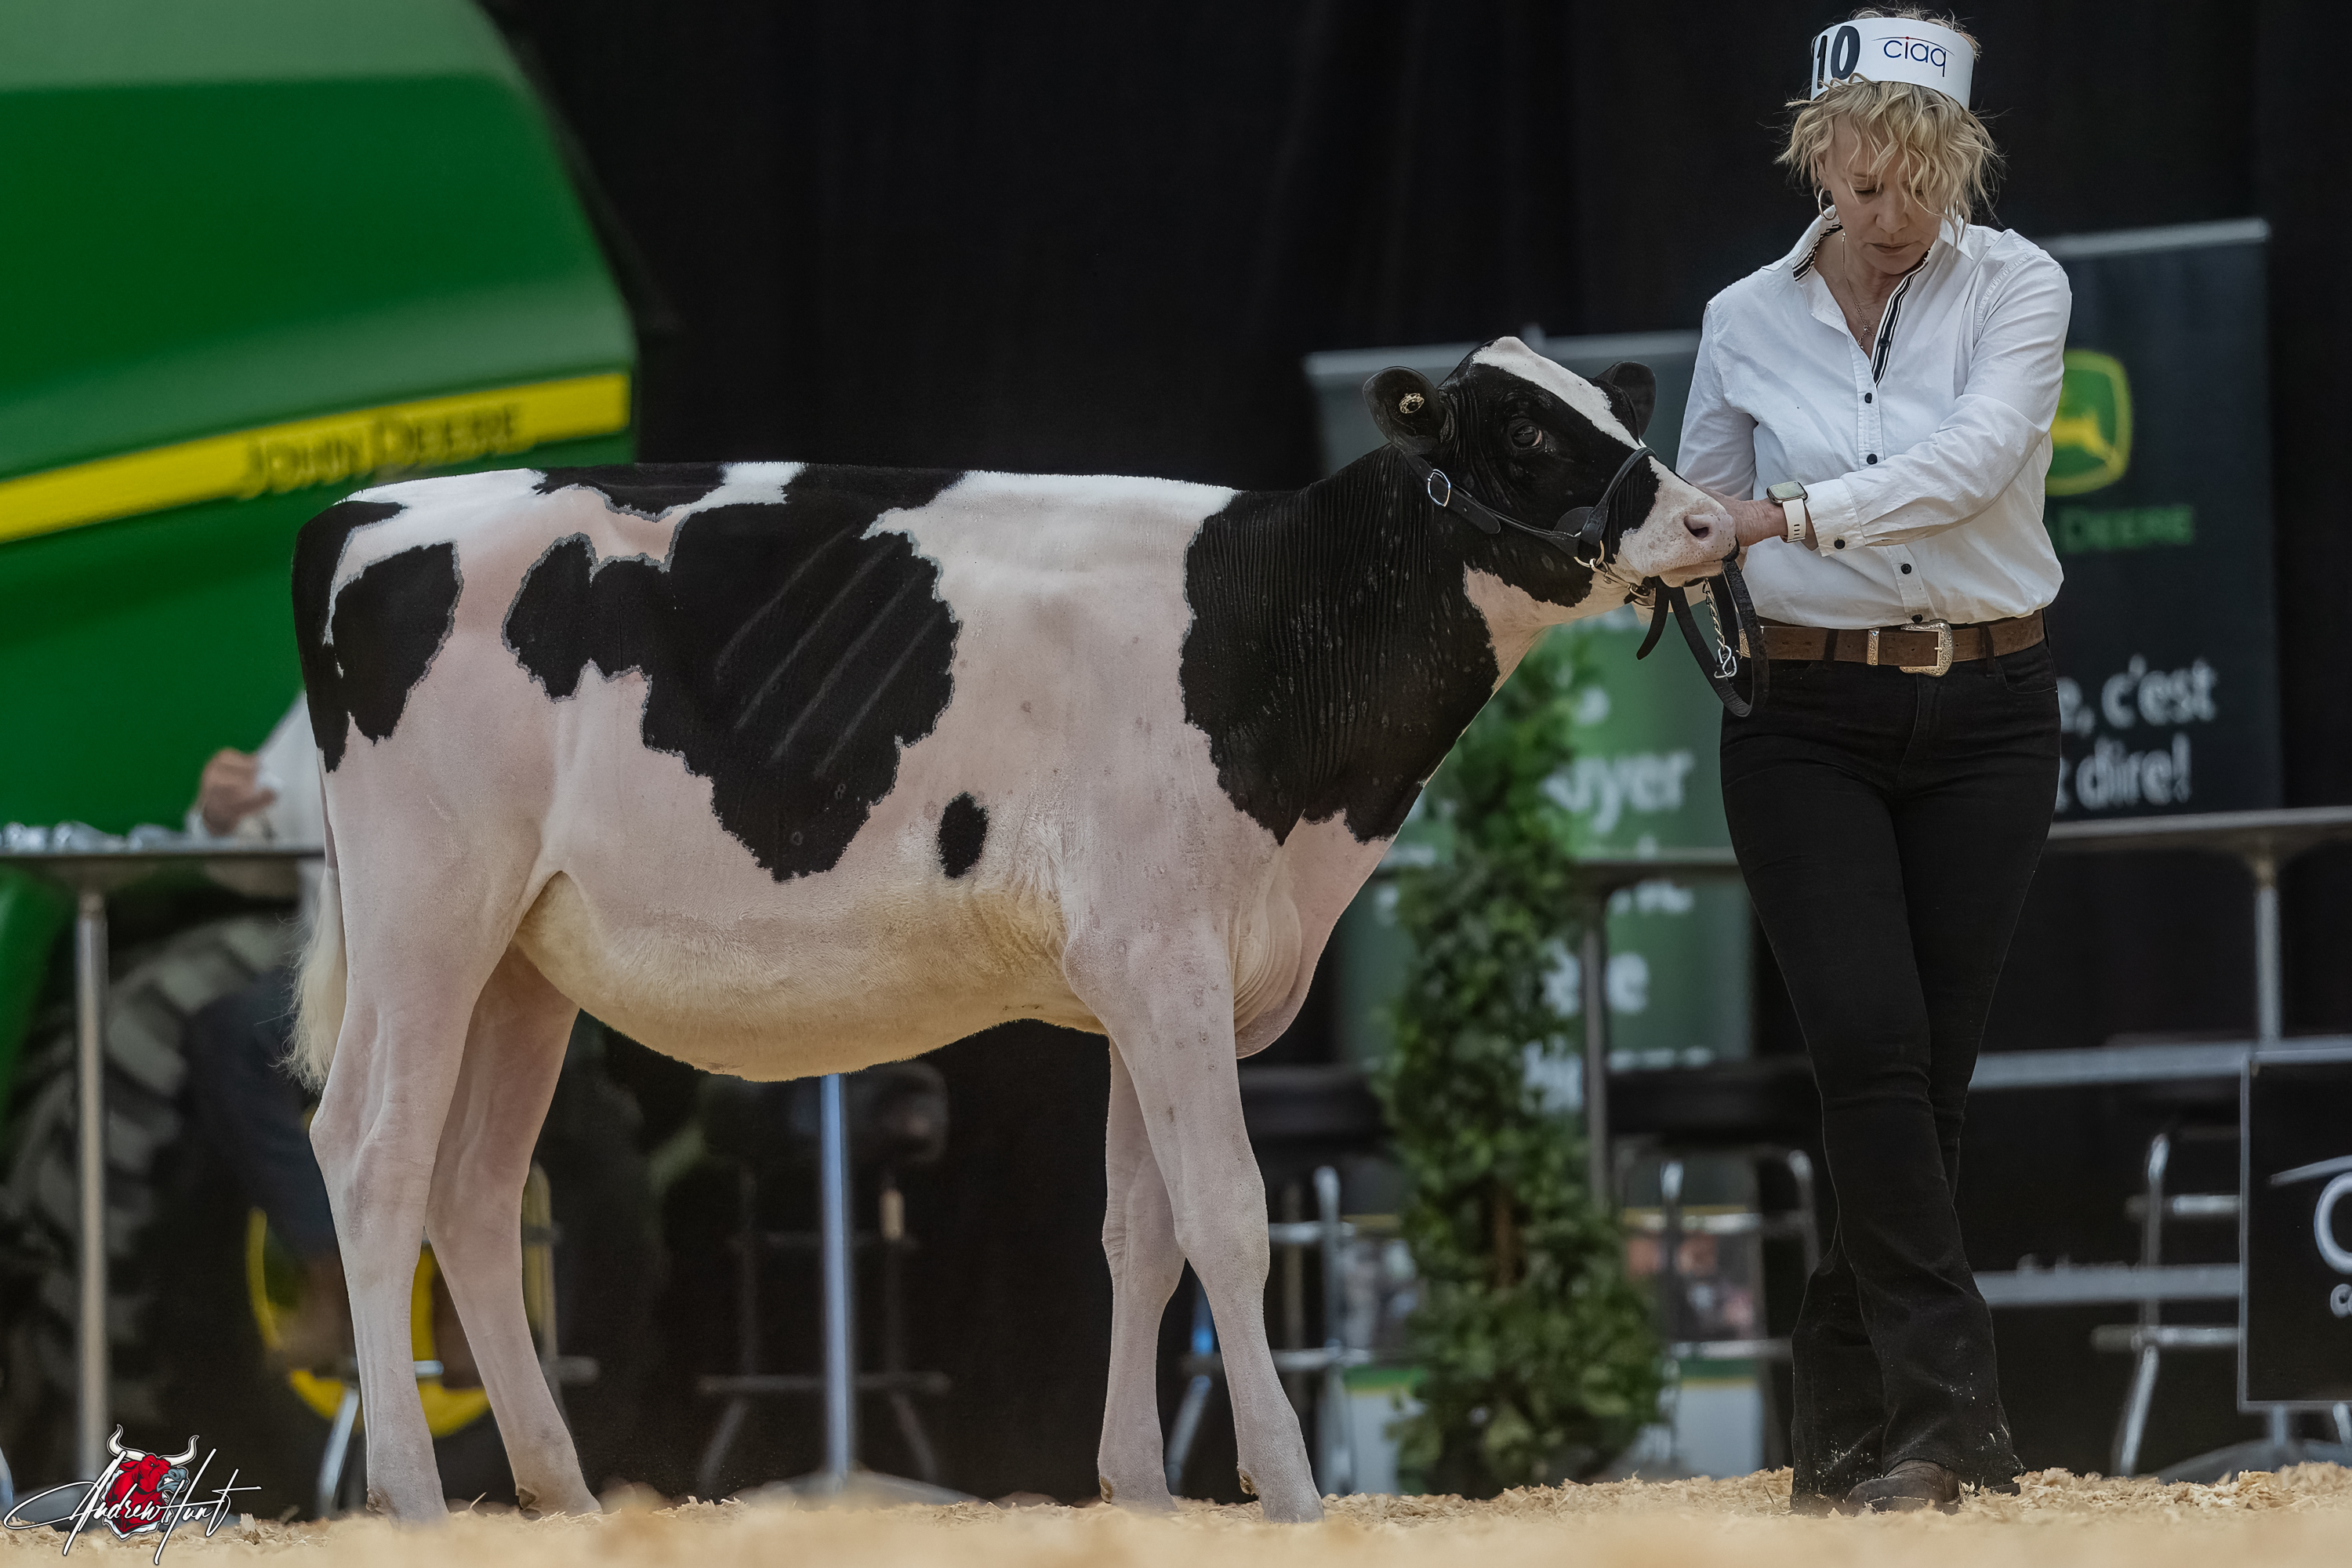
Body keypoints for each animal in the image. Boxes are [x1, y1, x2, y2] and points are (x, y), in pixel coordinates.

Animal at [288, 337, 1731, 1523]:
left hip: (522, 962)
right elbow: (1228, 1212)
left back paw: (564, 1496)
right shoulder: (1163, 958)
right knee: (370, 1155)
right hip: (428, 913)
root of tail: (367, 511)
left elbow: (1141, 1231)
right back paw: (411, 1496)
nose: (1708, 516)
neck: (1270, 626)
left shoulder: (1151, 978)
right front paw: (1290, 1490)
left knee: (478, 1194)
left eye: (1616, 404)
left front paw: (1140, 1491)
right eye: (1526, 431)